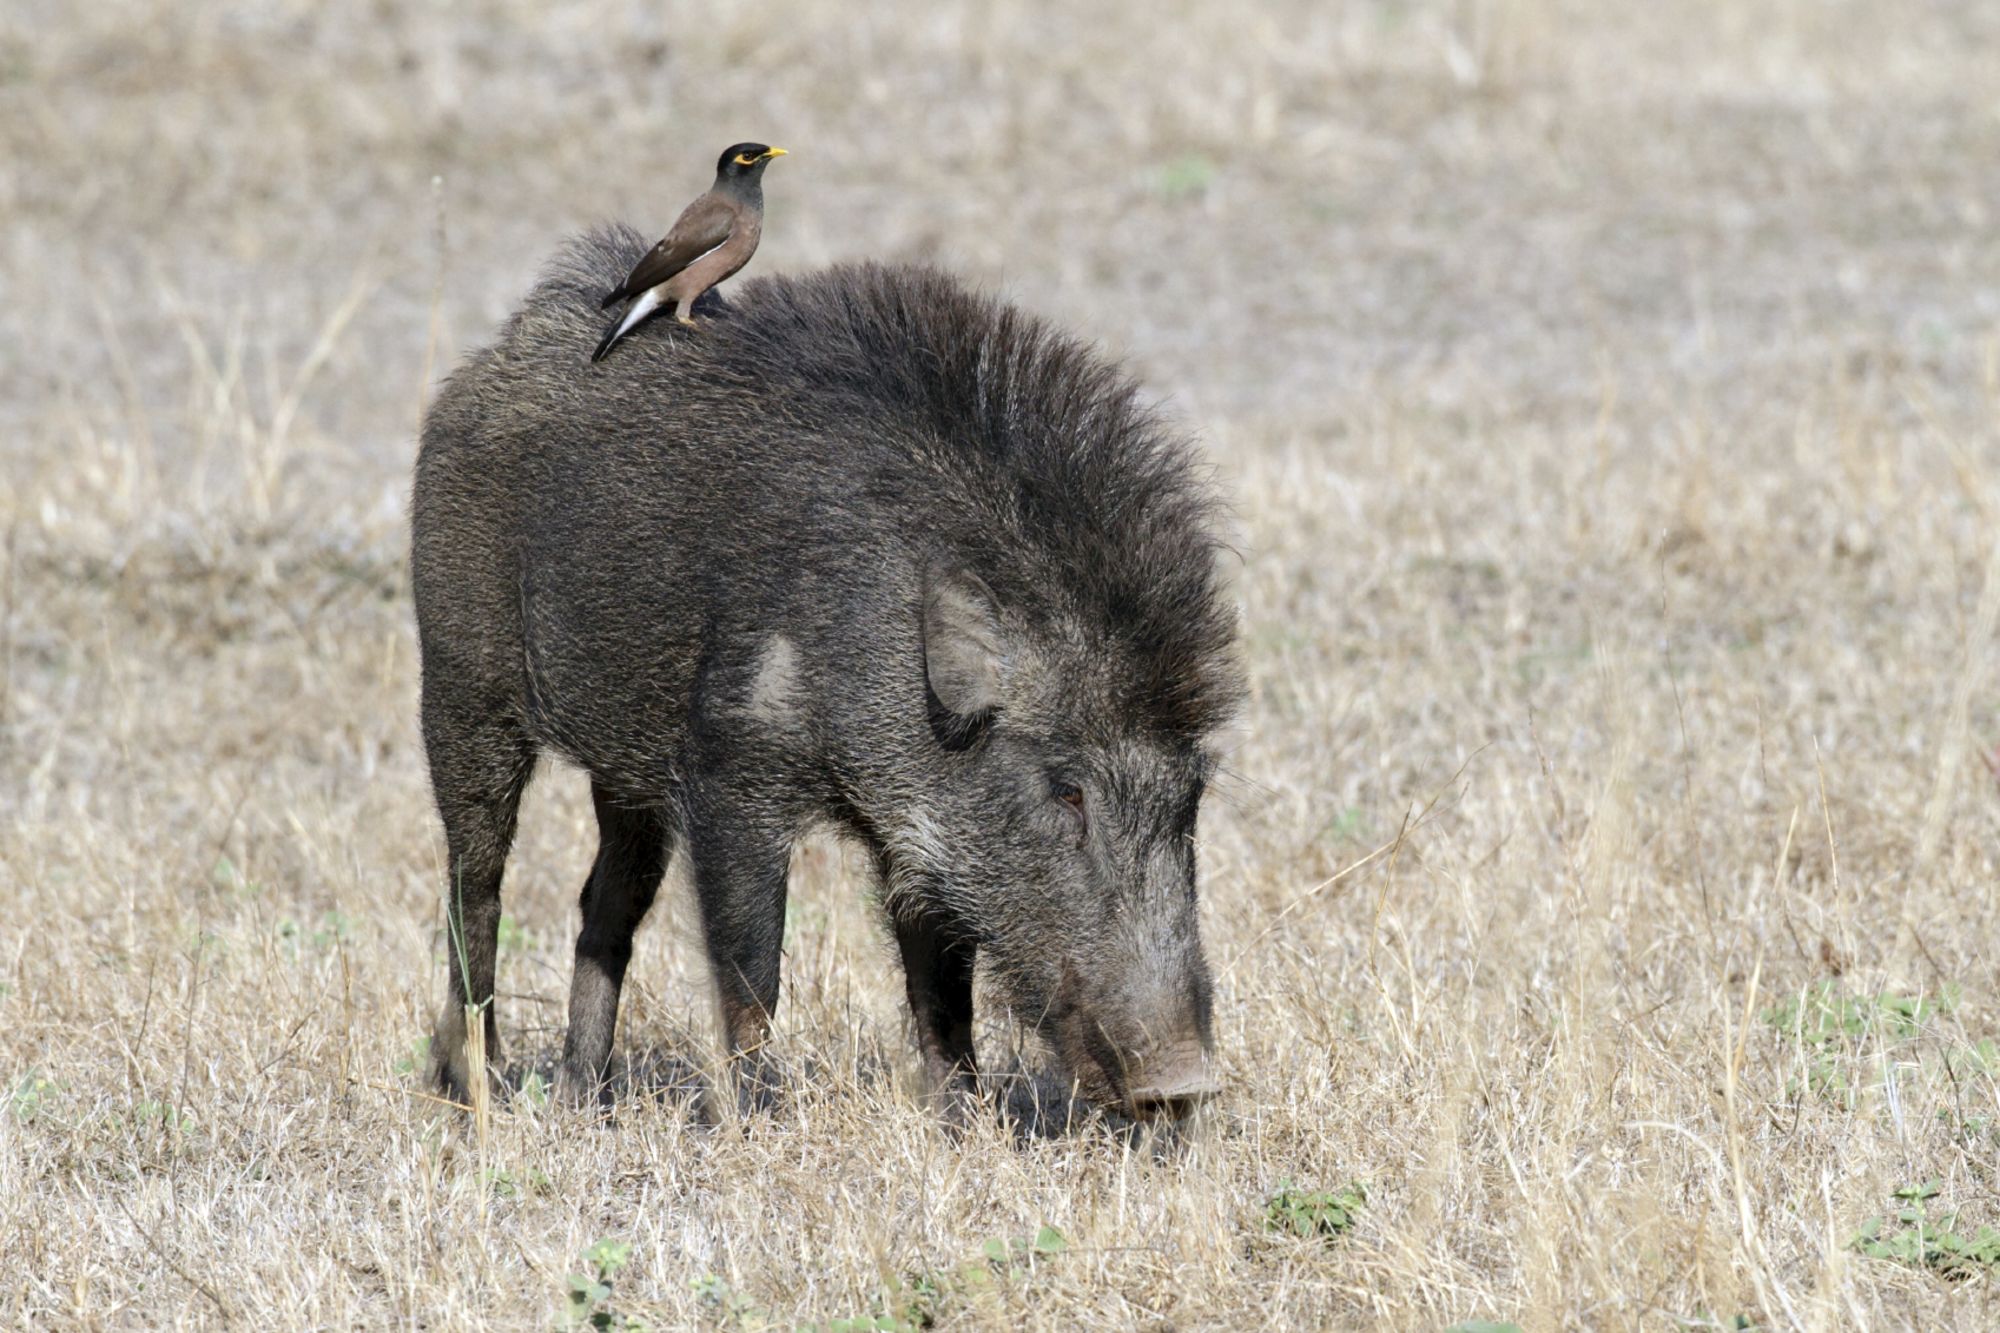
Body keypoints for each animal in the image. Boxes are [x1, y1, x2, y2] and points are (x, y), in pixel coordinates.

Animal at [411, 225, 1243, 1123]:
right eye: (1067, 789)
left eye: (1191, 794)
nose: (1184, 1084)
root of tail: (496, 356)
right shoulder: (730, 777)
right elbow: (751, 969)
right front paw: (757, 1121)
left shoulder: (913, 830)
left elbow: (940, 987)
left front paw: (962, 1117)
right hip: (460, 688)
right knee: (476, 886)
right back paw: (471, 1084)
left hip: (622, 773)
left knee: (606, 903)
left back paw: (582, 1095)